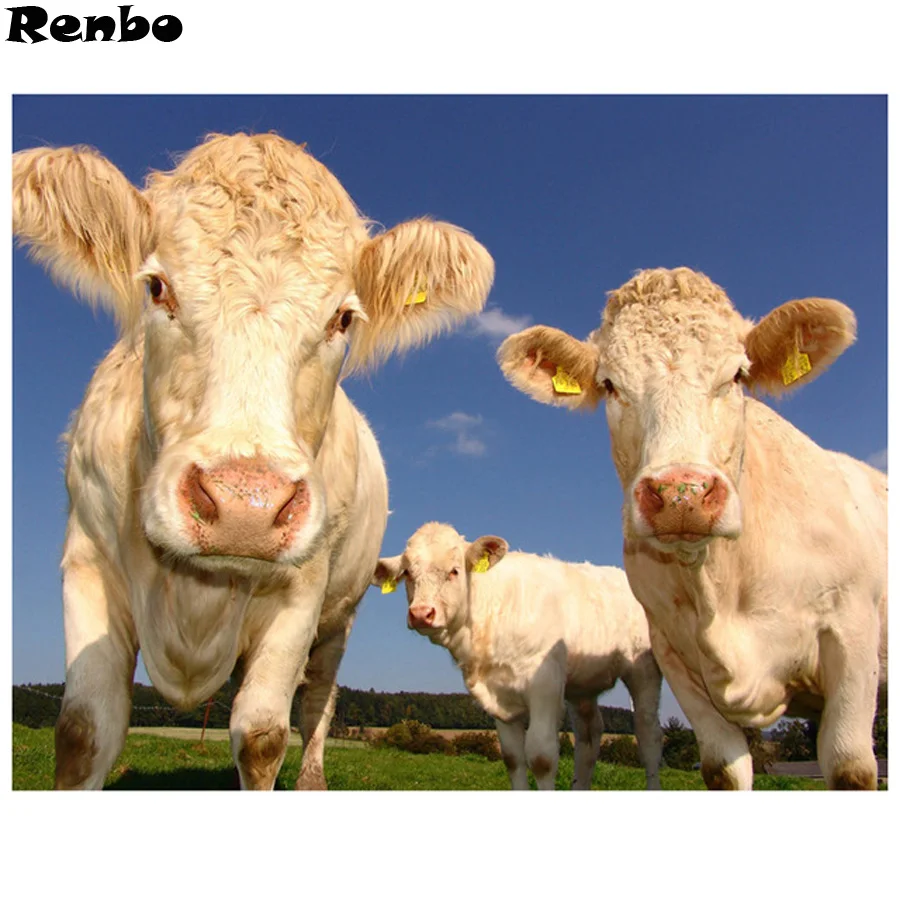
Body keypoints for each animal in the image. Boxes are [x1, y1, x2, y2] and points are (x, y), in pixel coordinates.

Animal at [12, 132, 494, 790]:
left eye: (343, 318)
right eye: (156, 287)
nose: (246, 506)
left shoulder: (303, 593)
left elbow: (264, 735)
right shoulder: (87, 562)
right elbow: (83, 732)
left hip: (338, 618)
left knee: (316, 702)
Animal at [372, 522, 663, 790]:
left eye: (454, 570)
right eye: (408, 573)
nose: (421, 613)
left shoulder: (545, 685)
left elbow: (541, 757)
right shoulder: (499, 699)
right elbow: (513, 759)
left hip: (644, 669)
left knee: (648, 735)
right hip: (582, 684)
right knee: (589, 736)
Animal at [497, 267, 887, 790]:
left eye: (737, 374)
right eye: (610, 384)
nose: (682, 494)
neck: (722, 583)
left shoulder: (852, 632)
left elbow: (850, 767)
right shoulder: (675, 655)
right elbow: (722, 769)